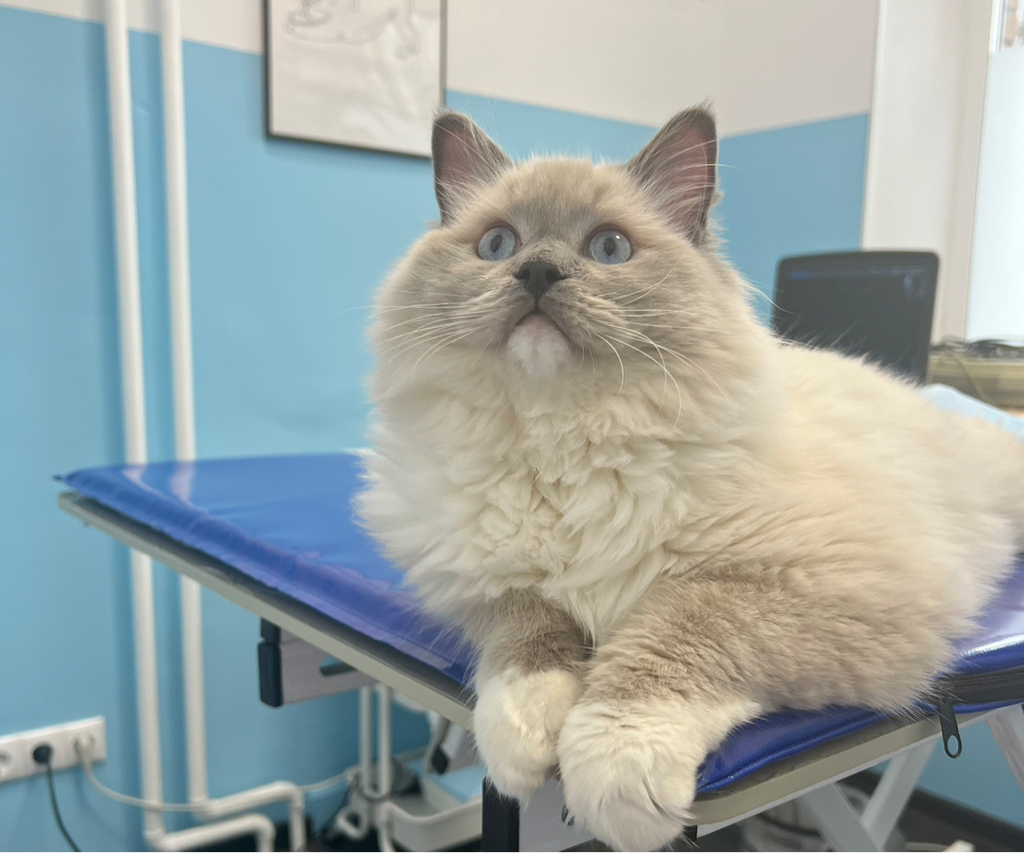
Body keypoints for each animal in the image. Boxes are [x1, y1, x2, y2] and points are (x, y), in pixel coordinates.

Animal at [357, 106, 1024, 850]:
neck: (564, 440)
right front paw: (524, 737)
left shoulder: (814, 586)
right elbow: (526, 640)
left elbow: (673, 638)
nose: (536, 272)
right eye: (499, 244)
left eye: (610, 248)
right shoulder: (485, 584)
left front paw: (613, 770)